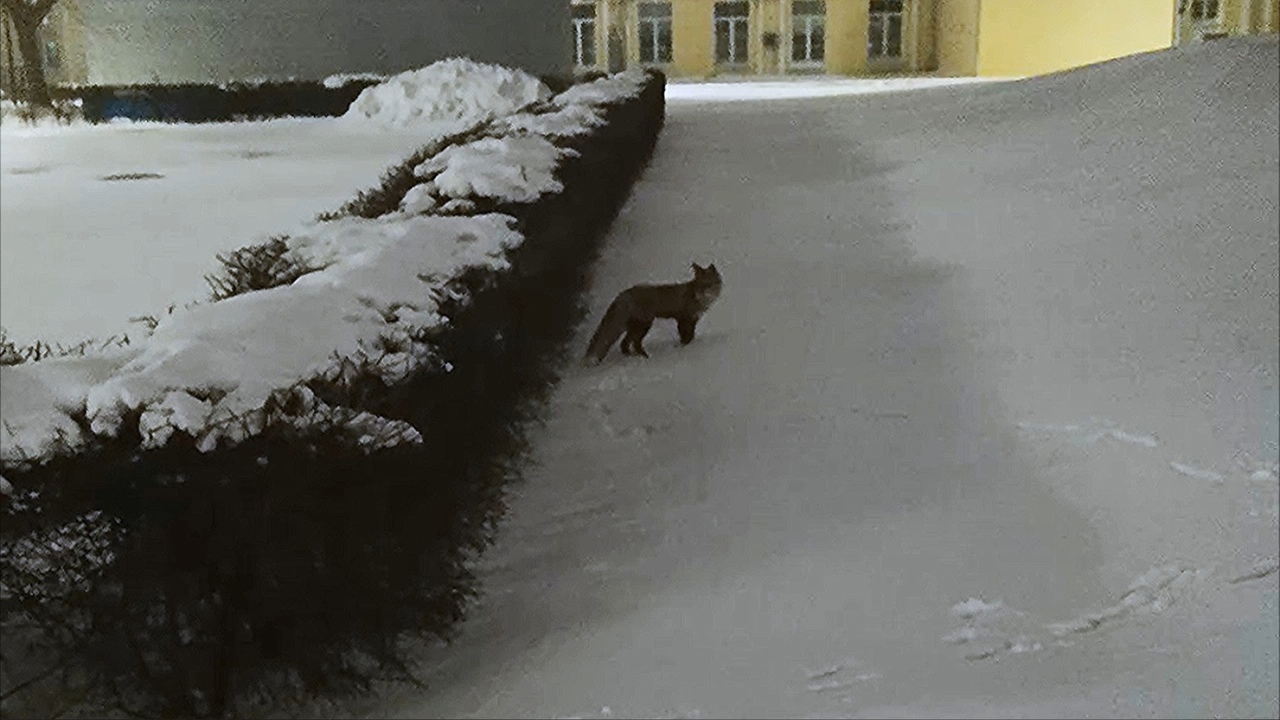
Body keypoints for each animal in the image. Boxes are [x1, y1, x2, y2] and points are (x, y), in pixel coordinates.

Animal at [581, 260, 721, 363]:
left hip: (635, 327)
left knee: (624, 344)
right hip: (644, 325)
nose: (703, 293)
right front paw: (684, 347)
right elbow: (685, 336)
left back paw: (632, 357)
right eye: (701, 285)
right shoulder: (682, 319)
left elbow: (691, 335)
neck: (698, 301)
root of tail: (622, 295)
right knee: (634, 343)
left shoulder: (693, 320)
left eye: (709, 284)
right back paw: (645, 357)